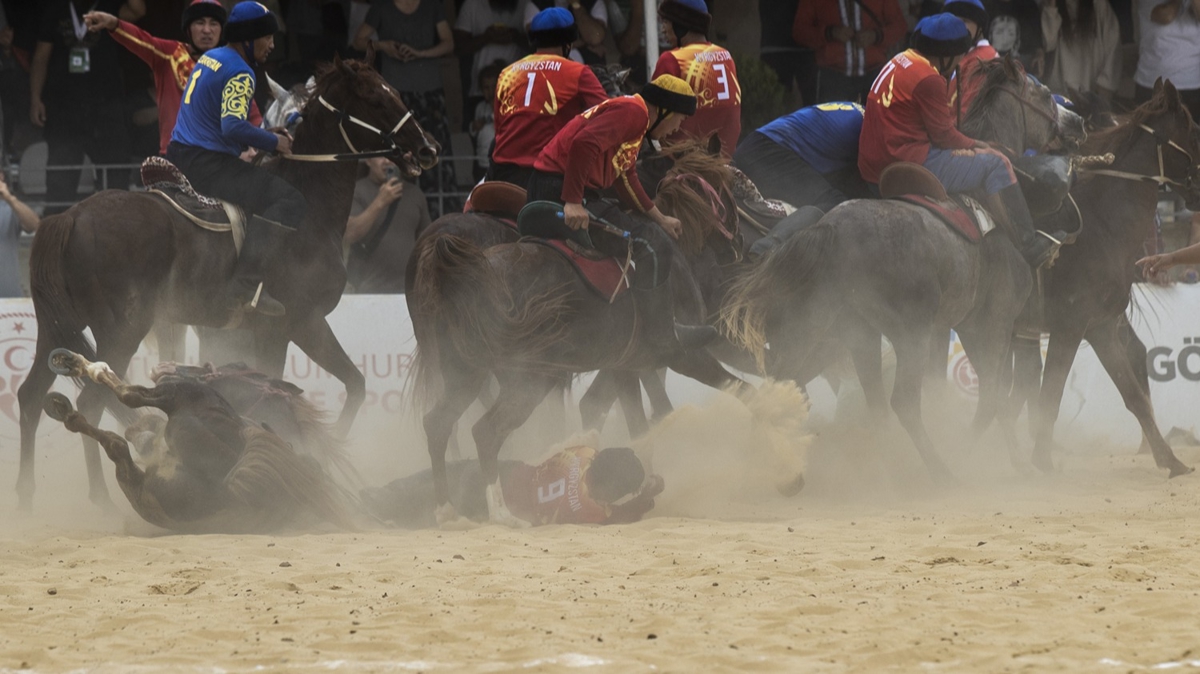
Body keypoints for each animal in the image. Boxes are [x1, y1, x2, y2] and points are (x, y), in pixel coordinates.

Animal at [16, 57, 441, 508]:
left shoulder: (284, 329)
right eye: (377, 98)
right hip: (122, 329)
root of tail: (69, 216)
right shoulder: (294, 324)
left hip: (58, 327)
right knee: (90, 401)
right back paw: (100, 500)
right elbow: (289, 388)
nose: (428, 148)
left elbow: (355, 384)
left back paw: (26, 499)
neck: (311, 212)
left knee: (30, 399)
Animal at [720, 56, 1080, 477]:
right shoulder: (988, 324)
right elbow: (994, 399)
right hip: (909, 334)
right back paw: (938, 470)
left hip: (839, 331)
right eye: (1042, 92)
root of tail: (833, 227)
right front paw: (974, 452)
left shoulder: (962, 328)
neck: (997, 212)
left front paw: (1015, 461)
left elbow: (994, 400)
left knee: (798, 388)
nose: (1078, 120)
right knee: (902, 402)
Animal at [988, 78, 1195, 474]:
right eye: (1194, 130)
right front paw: (1042, 460)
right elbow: (1049, 396)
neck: (1101, 224)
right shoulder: (1070, 327)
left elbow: (1133, 395)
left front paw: (1170, 460)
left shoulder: (1100, 327)